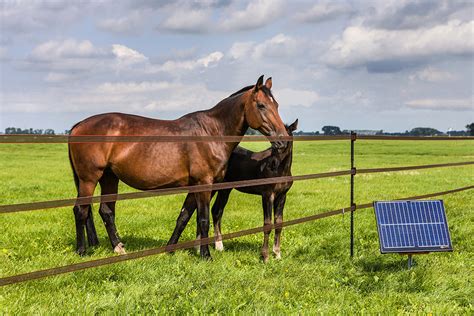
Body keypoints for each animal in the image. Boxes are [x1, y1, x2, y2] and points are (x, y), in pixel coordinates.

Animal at [68, 75, 286, 258]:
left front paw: (169, 250)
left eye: (276, 105)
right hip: (89, 179)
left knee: (106, 211)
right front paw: (206, 255)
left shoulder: (196, 187)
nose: (283, 140)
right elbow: (203, 219)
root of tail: (78, 125)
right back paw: (82, 251)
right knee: (81, 210)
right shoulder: (204, 184)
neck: (212, 133)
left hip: (109, 177)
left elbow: (184, 217)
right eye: (261, 105)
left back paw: (118, 248)